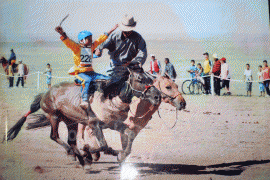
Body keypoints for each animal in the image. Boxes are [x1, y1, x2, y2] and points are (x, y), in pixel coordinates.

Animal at [4, 67, 162, 166]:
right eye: (140, 79)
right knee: (54, 136)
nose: (157, 96)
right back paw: (74, 153)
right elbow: (103, 145)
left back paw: (80, 157)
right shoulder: (94, 124)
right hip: (54, 116)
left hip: (71, 122)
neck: (109, 97)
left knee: (71, 141)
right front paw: (89, 151)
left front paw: (120, 155)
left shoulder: (115, 124)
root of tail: (45, 93)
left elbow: (128, 135)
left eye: (151, 78)